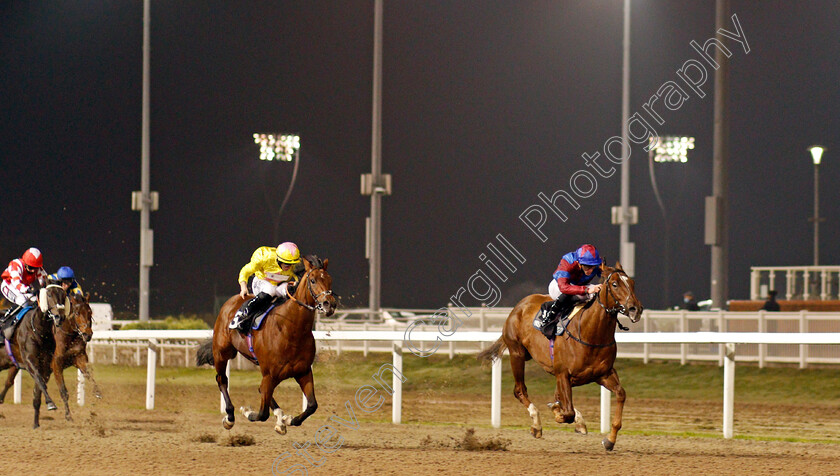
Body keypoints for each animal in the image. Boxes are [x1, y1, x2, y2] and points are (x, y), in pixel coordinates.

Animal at [1, 282, 70, 428]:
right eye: (49, 295)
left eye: (64, 295)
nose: (59, 317)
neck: (39, 330)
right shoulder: (29, 361)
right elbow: (40, 382)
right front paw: (50, 403)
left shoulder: (46, 365)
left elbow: (38, 391)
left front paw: (36, 423)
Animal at [210, 256, 334, 436]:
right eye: (313, 280)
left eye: (330, 280)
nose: (329, 304)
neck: (290, 330)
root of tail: (232, 301)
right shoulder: (270, 374)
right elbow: (262, 414)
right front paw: (247, 411)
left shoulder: (303, 371)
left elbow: (312, 405)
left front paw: (287, 420)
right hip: (221, 352)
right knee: (222, 380)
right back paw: (230, 417)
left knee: (261, 390)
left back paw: (280, 418)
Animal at [480, 262, 644, 452]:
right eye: (615, 284)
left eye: (632, 283)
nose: (635, 309)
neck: (590, 334)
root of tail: (519, 305)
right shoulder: (563, 373)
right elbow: (568, 412)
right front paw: (558, 414)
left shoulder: (603, 374)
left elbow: (620, 394)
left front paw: (609, 440)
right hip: (517, 353)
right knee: (520, 390)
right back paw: (536, 423)